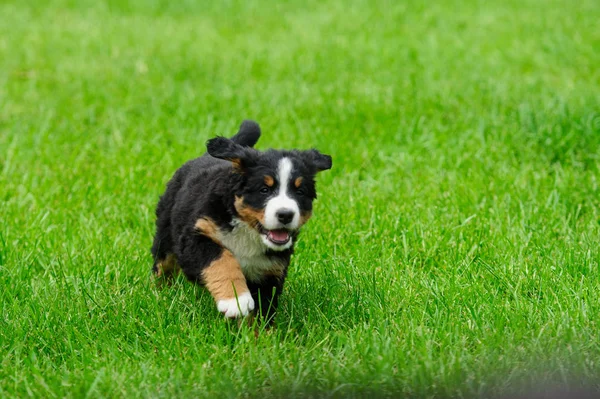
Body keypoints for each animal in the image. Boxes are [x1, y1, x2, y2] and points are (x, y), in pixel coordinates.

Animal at [148, 120, 330, 324]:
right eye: (264, 190)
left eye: (299, 192)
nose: (285, 214)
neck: (248, 231)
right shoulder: (195, 237)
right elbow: (222, 259)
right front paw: (236, 299)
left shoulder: (269, 271)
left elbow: (261, 311)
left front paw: (257, 332)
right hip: (166, 234)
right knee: (163, 266)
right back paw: (160, 294)